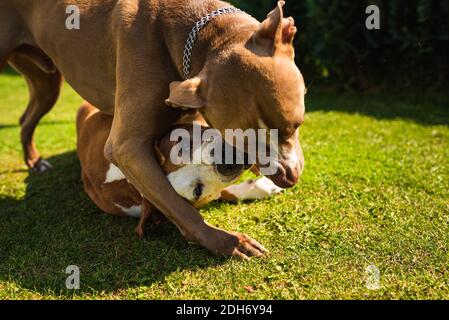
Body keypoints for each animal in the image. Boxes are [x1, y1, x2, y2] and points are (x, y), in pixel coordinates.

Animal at [0, 1, 304, 258]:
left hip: (47, 81)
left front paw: (259, 186)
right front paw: (228, 242)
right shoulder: (126, 147)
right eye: (195, 190)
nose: (289, 177)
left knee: (27, 118)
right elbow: (182, 210)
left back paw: (35, 161)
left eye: (295, 125)